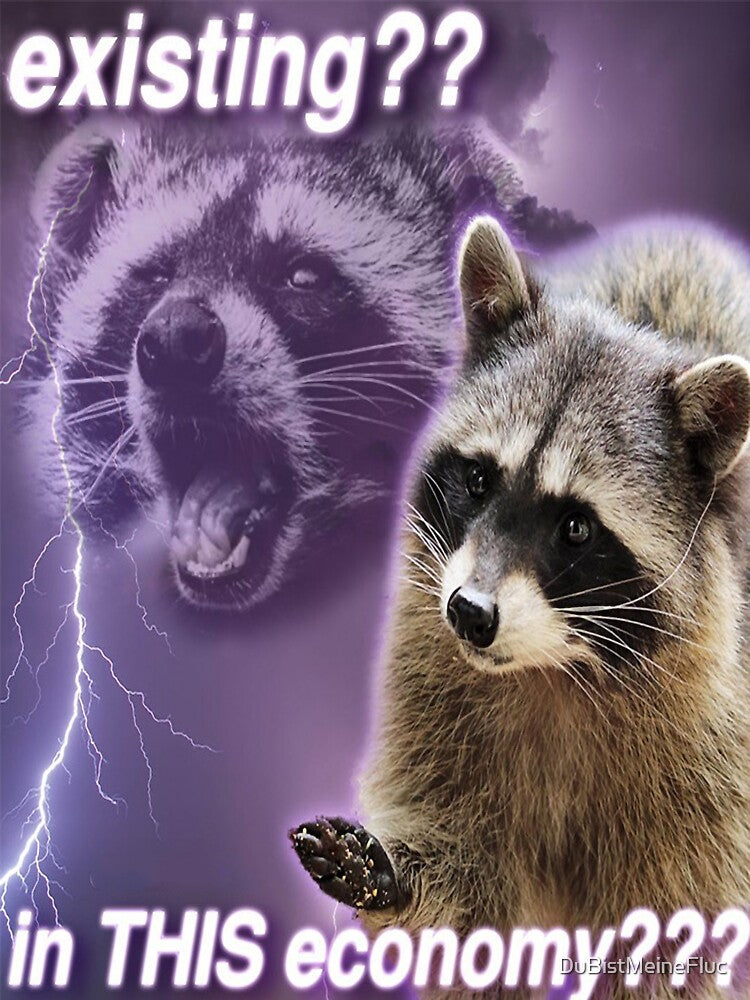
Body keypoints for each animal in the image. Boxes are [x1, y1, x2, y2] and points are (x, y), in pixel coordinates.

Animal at [292, 218, 750, 998]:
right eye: (479, 479)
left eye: (576, 528)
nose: (469, 613)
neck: (557, 667)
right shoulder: (431, 691)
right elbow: (474, 913)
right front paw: (397, 875)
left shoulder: (714, 767)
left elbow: (670, 949)